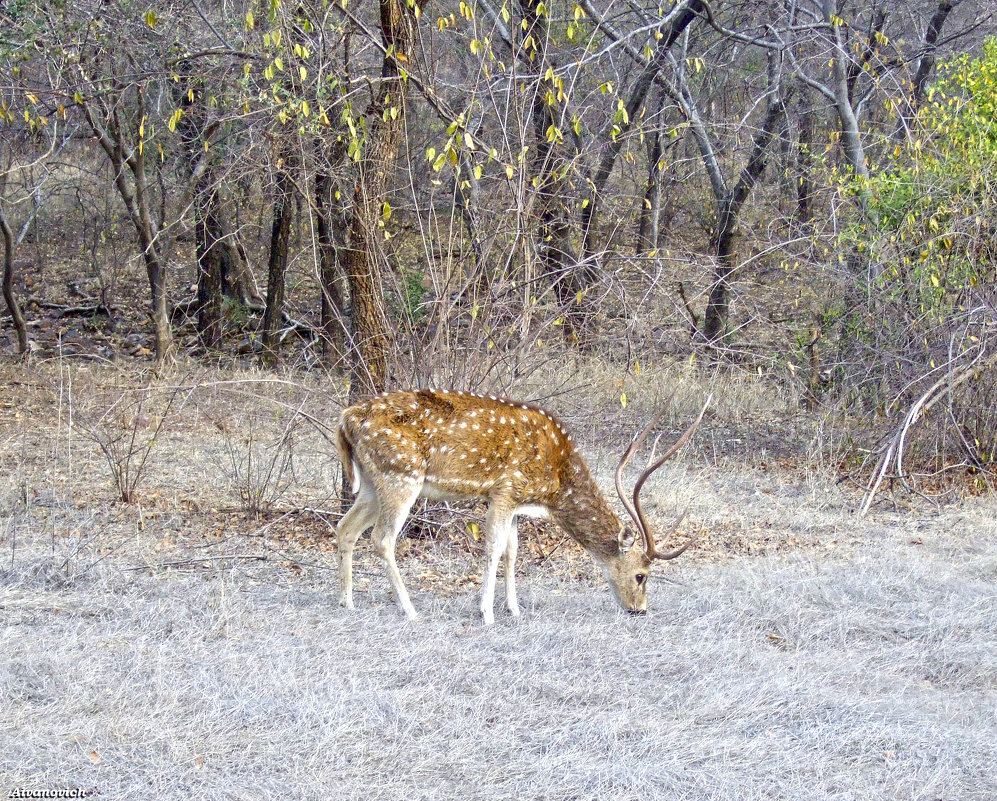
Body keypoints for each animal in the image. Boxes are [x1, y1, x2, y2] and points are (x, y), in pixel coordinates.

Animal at [334, 388, 708, 624]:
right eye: (641, 575)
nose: (640, 610)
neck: (554, 485)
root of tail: (345, 418)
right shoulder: (505, 490)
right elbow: (493, 549)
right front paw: (486, 613)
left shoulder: (514, 502)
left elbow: (513, 552)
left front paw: (514, 609)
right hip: (400, 475)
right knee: (382, 539)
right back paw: (409, 610)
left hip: (371, 482)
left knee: (345, 527)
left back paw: (346, 600)